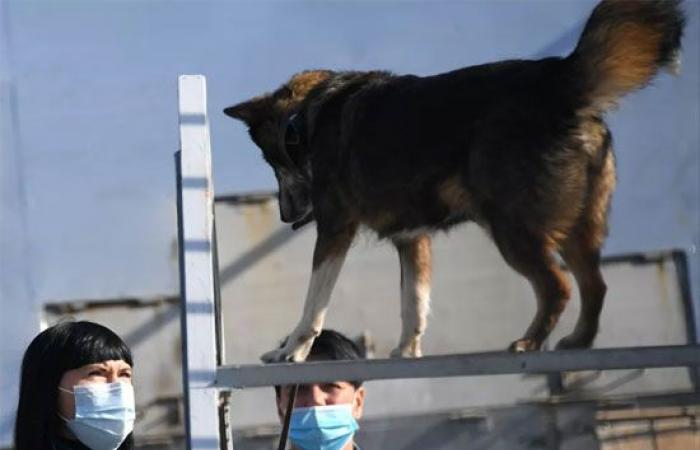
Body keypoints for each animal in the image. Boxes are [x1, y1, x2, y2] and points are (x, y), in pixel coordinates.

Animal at [227, 0, 688, 362]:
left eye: (271, 161)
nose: (285, 217)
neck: (305, 116)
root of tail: (557, 84)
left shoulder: (335, 229)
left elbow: (314, 306)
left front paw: (293, 350)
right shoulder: (412, 239)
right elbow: (413, 303)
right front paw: (407, 353)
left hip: (513, 227)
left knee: (557, 286)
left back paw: (529, 341)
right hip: (577, 225)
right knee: (595, 284)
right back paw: (577, 341)